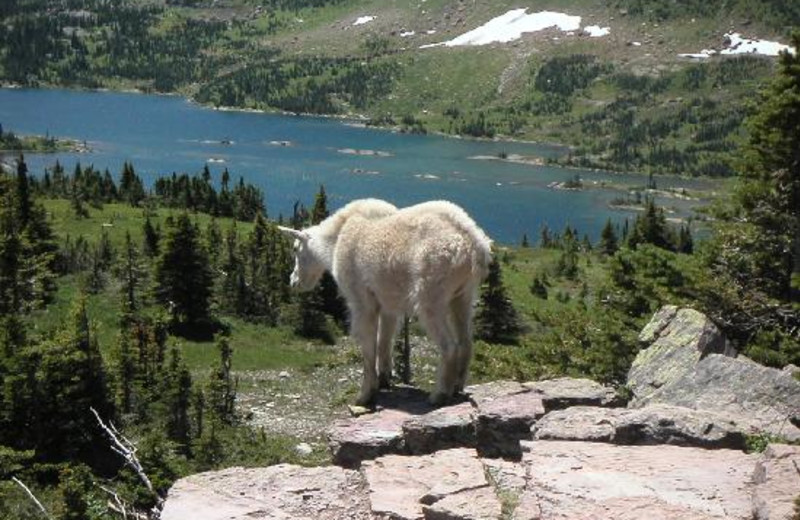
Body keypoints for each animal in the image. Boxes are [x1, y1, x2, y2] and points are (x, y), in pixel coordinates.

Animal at [282, 197, 494, 404]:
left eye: (295, 249)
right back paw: (457, 387)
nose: (294, 282)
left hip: (432, 294)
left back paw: (439, 394)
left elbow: (369, 346)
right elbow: (384, 340)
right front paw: (384, 380)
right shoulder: (387, 303)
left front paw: (365, 395)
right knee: (466, 340)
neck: (335, 240)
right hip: (464, 294)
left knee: (449, 345)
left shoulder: (361, 300)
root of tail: (476, 246)